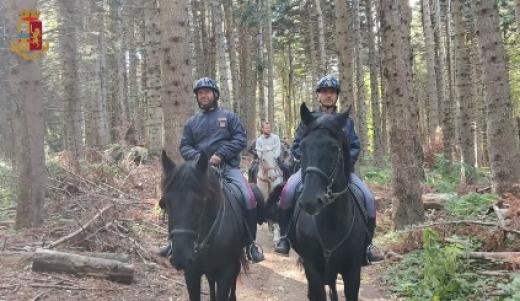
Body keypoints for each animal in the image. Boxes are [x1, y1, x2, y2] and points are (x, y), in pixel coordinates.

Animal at [266, 103, 368, 300]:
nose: (310, 201)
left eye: (334, 148)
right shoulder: (312, 268)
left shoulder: (353, 271)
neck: (332, 223)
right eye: (303, 146)